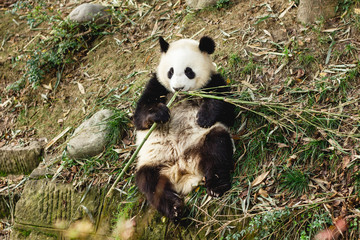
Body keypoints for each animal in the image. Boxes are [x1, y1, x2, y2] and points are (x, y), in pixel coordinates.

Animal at [134, 35, 235, 221]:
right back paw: (175, 209)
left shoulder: (213, 81)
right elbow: (140, 115)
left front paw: (203, 117)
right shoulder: (157, 84)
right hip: (154, 162)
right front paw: (160, 114)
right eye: (170, 71)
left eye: (189, 71)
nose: (177, 88)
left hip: (200, 142)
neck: (183, 97)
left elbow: (226, 108)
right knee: (150, 183)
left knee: (217, 147)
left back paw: (215, 187)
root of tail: (183, 170)